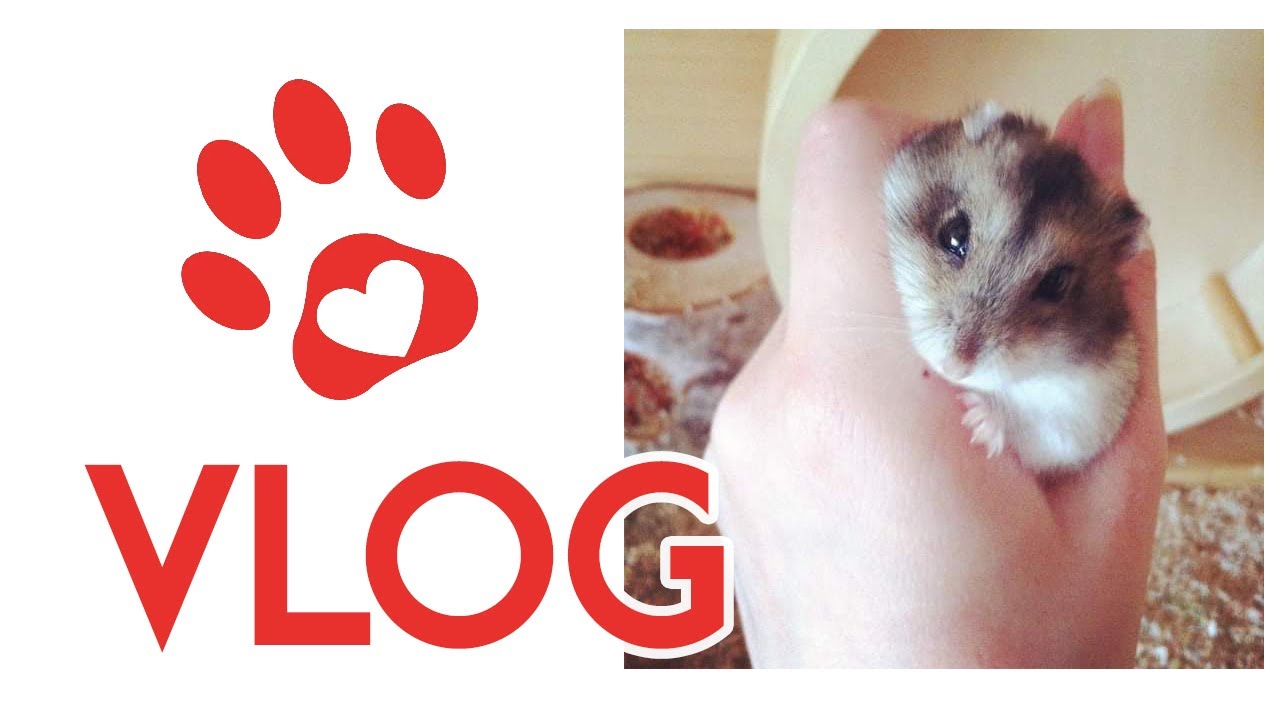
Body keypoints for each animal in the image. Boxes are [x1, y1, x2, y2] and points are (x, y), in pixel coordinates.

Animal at [882, 102, 1147, 472]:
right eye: (954, 235)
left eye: (1056, 283)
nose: (955, 368)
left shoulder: (1087, 414)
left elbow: (1040, 433)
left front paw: (978, 421)